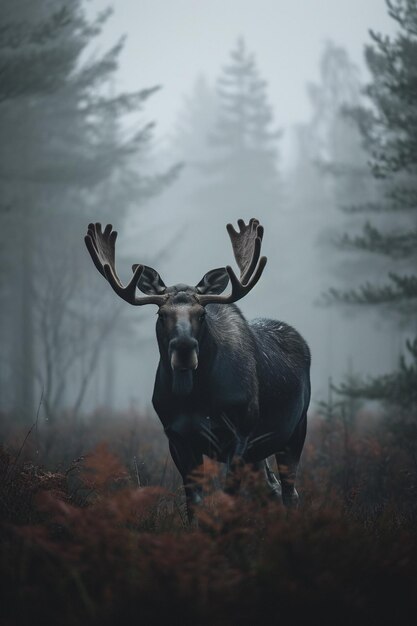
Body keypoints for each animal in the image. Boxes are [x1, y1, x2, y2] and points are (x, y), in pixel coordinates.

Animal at [84, 217, 310, 520]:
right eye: (161, 314)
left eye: (202, 314)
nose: (184, 348)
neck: (195, 398)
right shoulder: (178, 438)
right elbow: (195, 504)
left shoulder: (239, 435)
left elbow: (228, 499)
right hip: (260, 450)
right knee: (271, 489)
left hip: (295, 430)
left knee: (289, 491)